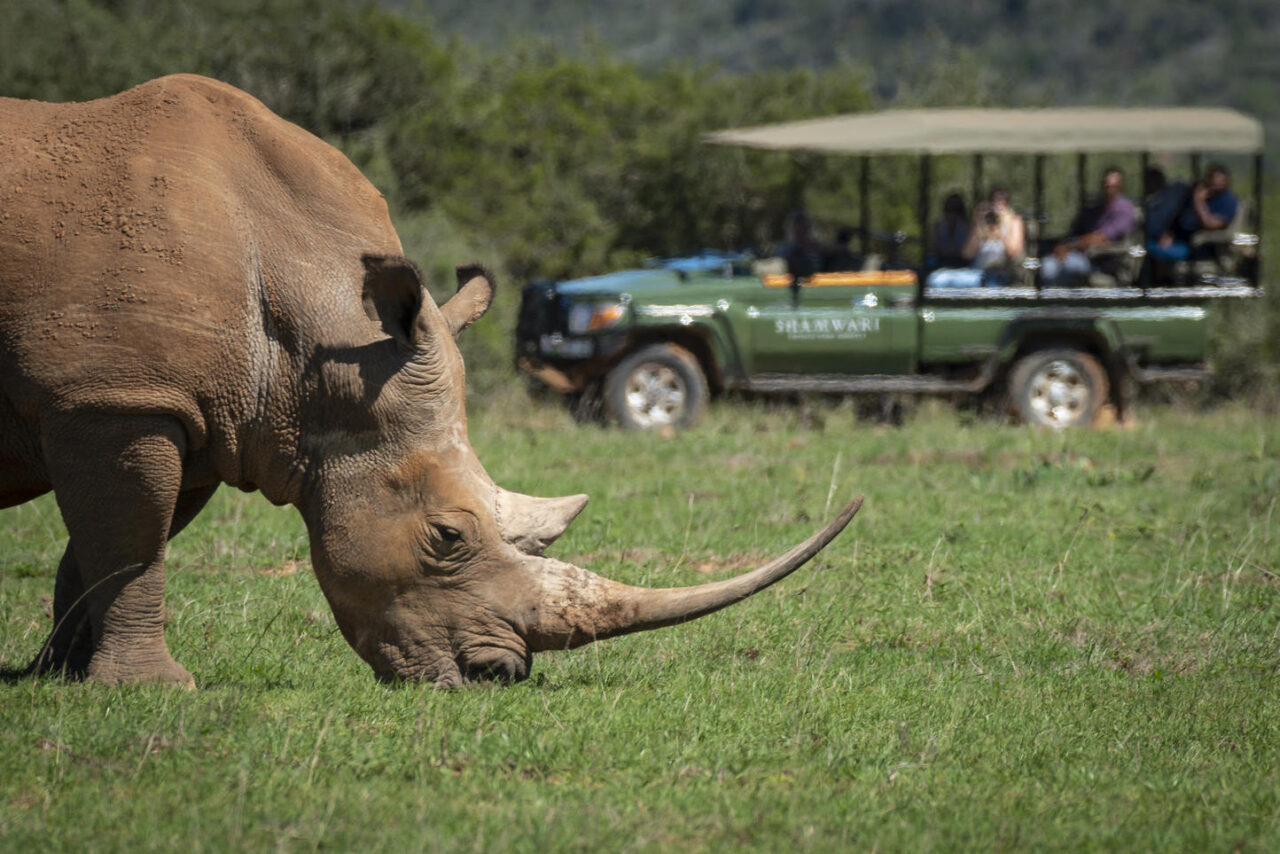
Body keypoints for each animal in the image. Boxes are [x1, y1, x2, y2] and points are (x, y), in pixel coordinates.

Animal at [0, 75, 862, 687]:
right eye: (448, 537)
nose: (498, 675)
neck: (315, 355)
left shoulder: (189, 410)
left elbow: (110, 544)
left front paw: (58, 678)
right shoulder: (117, 398)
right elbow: (131, 542)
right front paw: (145, 689)